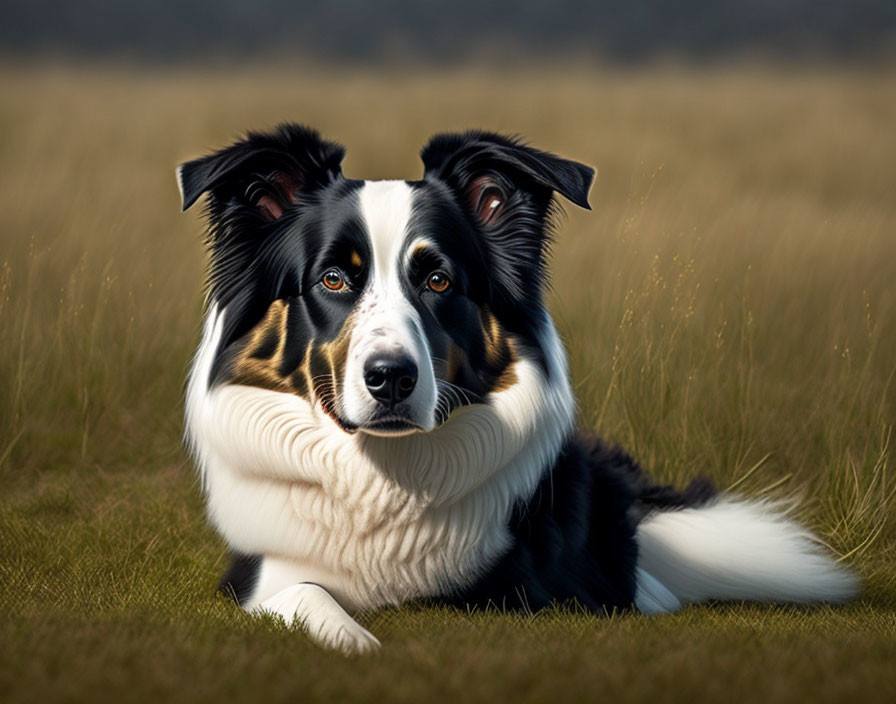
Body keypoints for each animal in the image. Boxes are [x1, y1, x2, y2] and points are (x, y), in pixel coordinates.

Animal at [177, 122, 860, 656]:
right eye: (334, 278)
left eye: (439, 280)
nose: (392, 377)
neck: (386, 475)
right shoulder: (261, 575)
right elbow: (306, 593)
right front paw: (354, 637)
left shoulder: (535, 589)